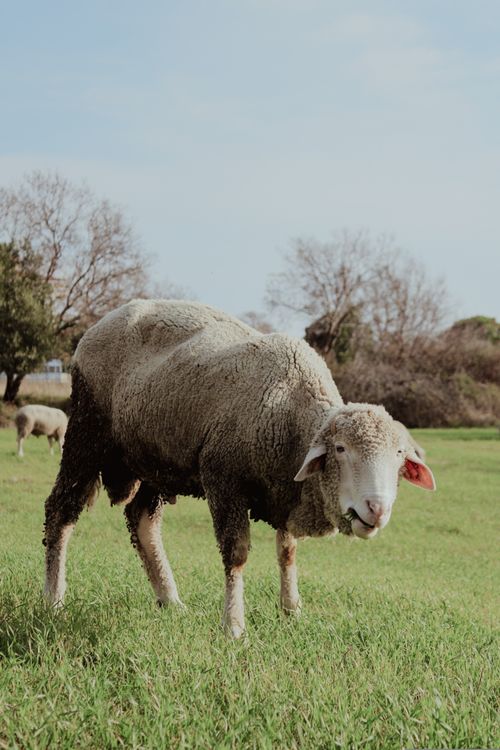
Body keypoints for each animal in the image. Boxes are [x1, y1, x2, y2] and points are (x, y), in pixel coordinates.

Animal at [43, 299, 436, 637]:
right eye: (340, 449)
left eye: (399, 456)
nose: (377, 508)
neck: (291, 416)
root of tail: (103, 322)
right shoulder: (223, 480)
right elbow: (237, 554)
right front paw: (233, 625)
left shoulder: (285, 488)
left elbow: (287, 551)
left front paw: (291, 610)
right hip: (86, 433)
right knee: (60, 510)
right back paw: (54, 600)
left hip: (156, 457)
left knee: (142, 520)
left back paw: (170, 600)